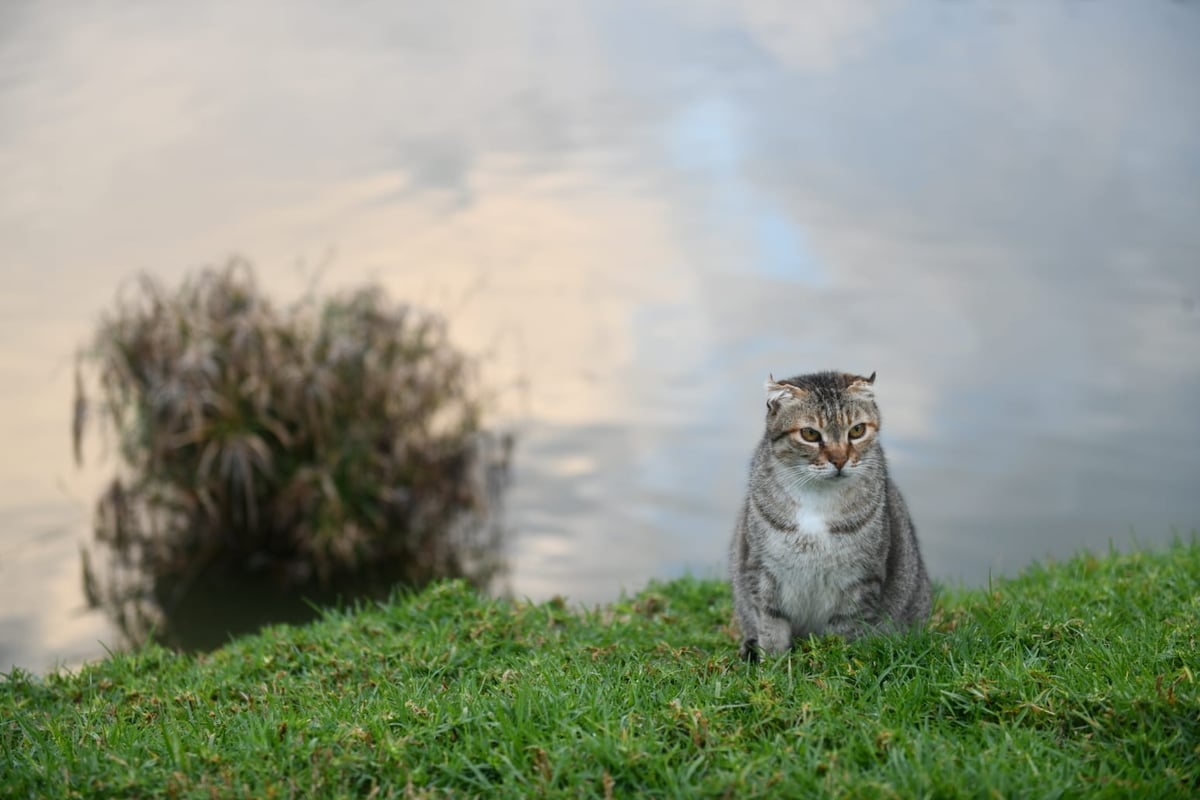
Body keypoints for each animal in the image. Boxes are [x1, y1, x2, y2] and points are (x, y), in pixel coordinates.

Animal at [724, 371, 931, 662]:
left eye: (857, 430)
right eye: (810, 434)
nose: (840, 460)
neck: (817, 497)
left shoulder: (860, 580)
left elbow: (842, 628)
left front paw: (833, 659)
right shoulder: (762, 571)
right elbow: (771, 625)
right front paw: (774, 664)